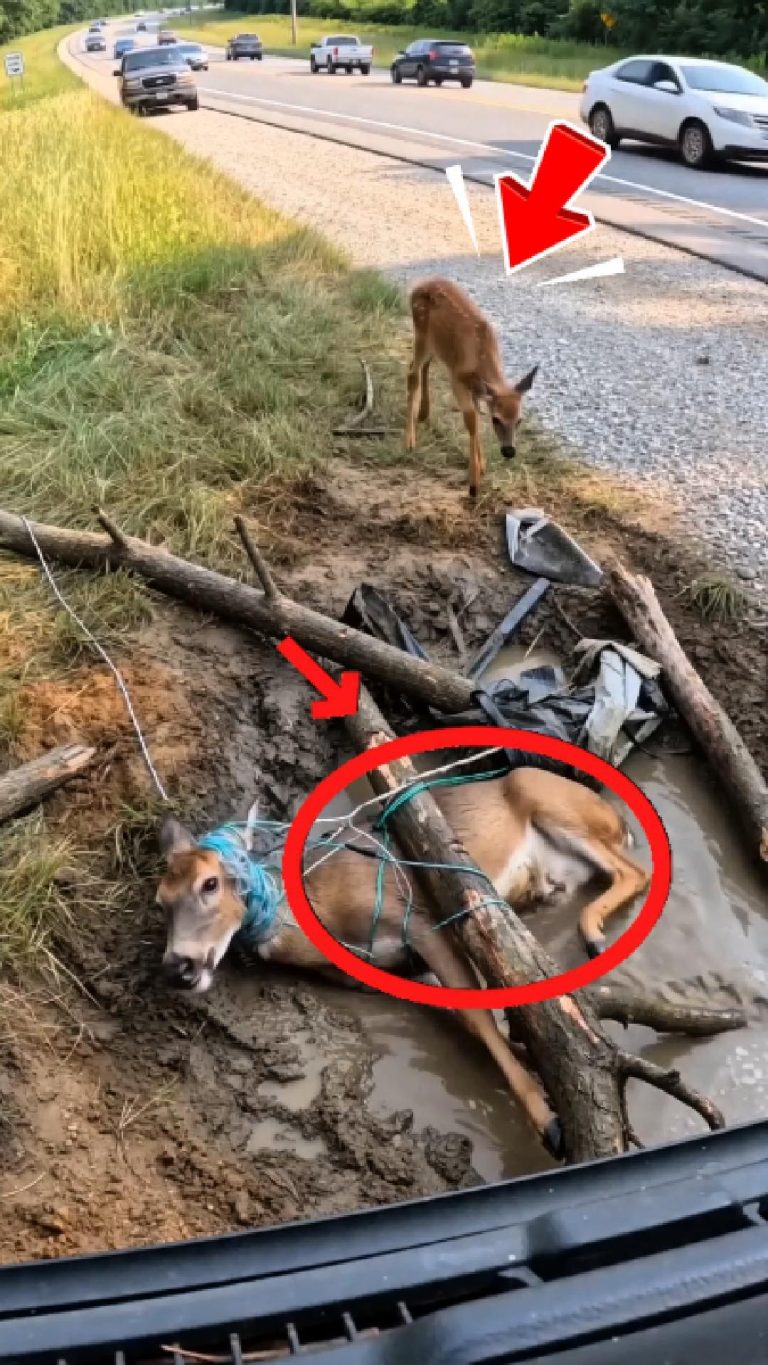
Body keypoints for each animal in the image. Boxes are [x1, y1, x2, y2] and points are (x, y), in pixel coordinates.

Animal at [156, 763, 649, 1160]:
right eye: (162, 900)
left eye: (210, 883)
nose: (178, 967)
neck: (322, 908)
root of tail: (620, 821)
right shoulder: (379, 971)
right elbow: (465, 1014)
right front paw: (533, 1058)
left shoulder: (420, 919)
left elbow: (477, 1014)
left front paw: (549, 1121)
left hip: (546, 796)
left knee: (634, 871)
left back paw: (592, 931)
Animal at [404, 277, 539, 499]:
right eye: (496, 420)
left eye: (520, 420)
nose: (509, 451)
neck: (480, 357)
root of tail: (420, 283)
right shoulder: (457, 379)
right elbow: (472, 420)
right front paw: (473, 483)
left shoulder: (477, 389)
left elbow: (476, 416)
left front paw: (482, 465)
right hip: (420, 332)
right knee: (412, 374)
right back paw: (409, 441)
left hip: (437, 345)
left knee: (424, 366)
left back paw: (423, 414)